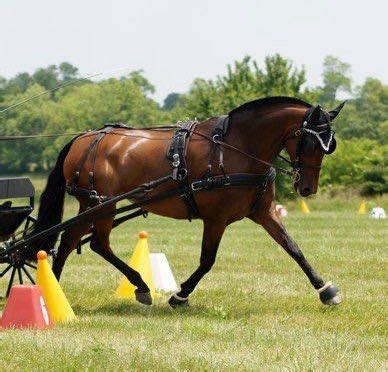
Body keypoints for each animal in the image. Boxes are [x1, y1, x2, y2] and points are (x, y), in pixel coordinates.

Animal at [31, 96, 344, 308]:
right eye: (311, 142)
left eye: (330, 145)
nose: (307, 187)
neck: (235, 148)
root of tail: (84, 138)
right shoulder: (216, 219)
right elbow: (207, 260)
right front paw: (180, 295)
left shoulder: (263, 212)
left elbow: (293, 248)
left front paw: (325, 290)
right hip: (102, 205)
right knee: (91, 243)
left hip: (93, 205)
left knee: (77, 242)